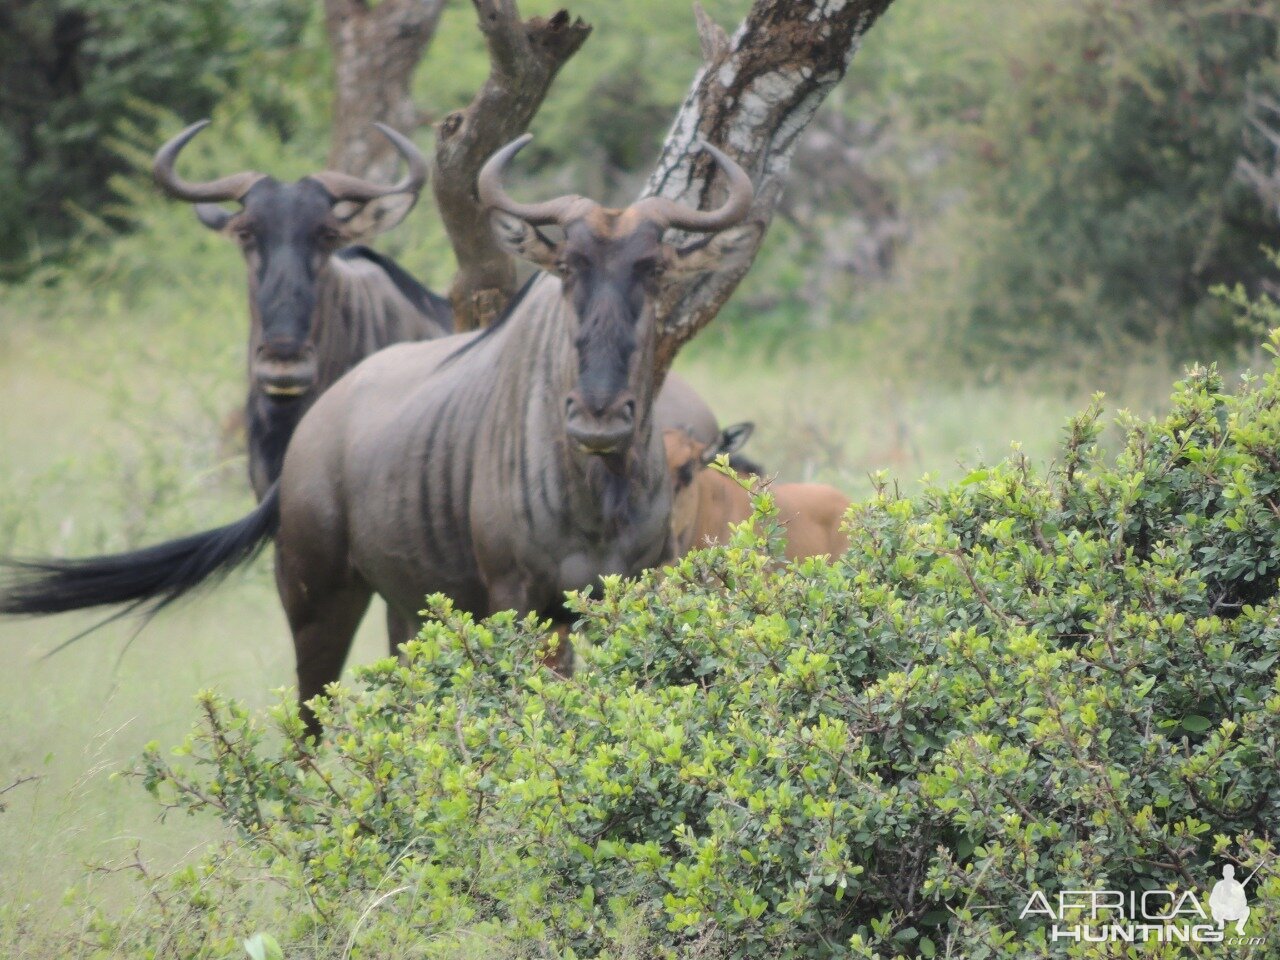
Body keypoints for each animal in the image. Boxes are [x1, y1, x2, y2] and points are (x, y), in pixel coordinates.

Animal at [2, 135, 747, 732]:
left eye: (654, 270)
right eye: (567, 269)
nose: (597, 416)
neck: (596, 483)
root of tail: (317, 424)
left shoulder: (636, 595)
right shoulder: (518, 602)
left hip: (406, 604)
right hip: (314, 595)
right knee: (309, 719)